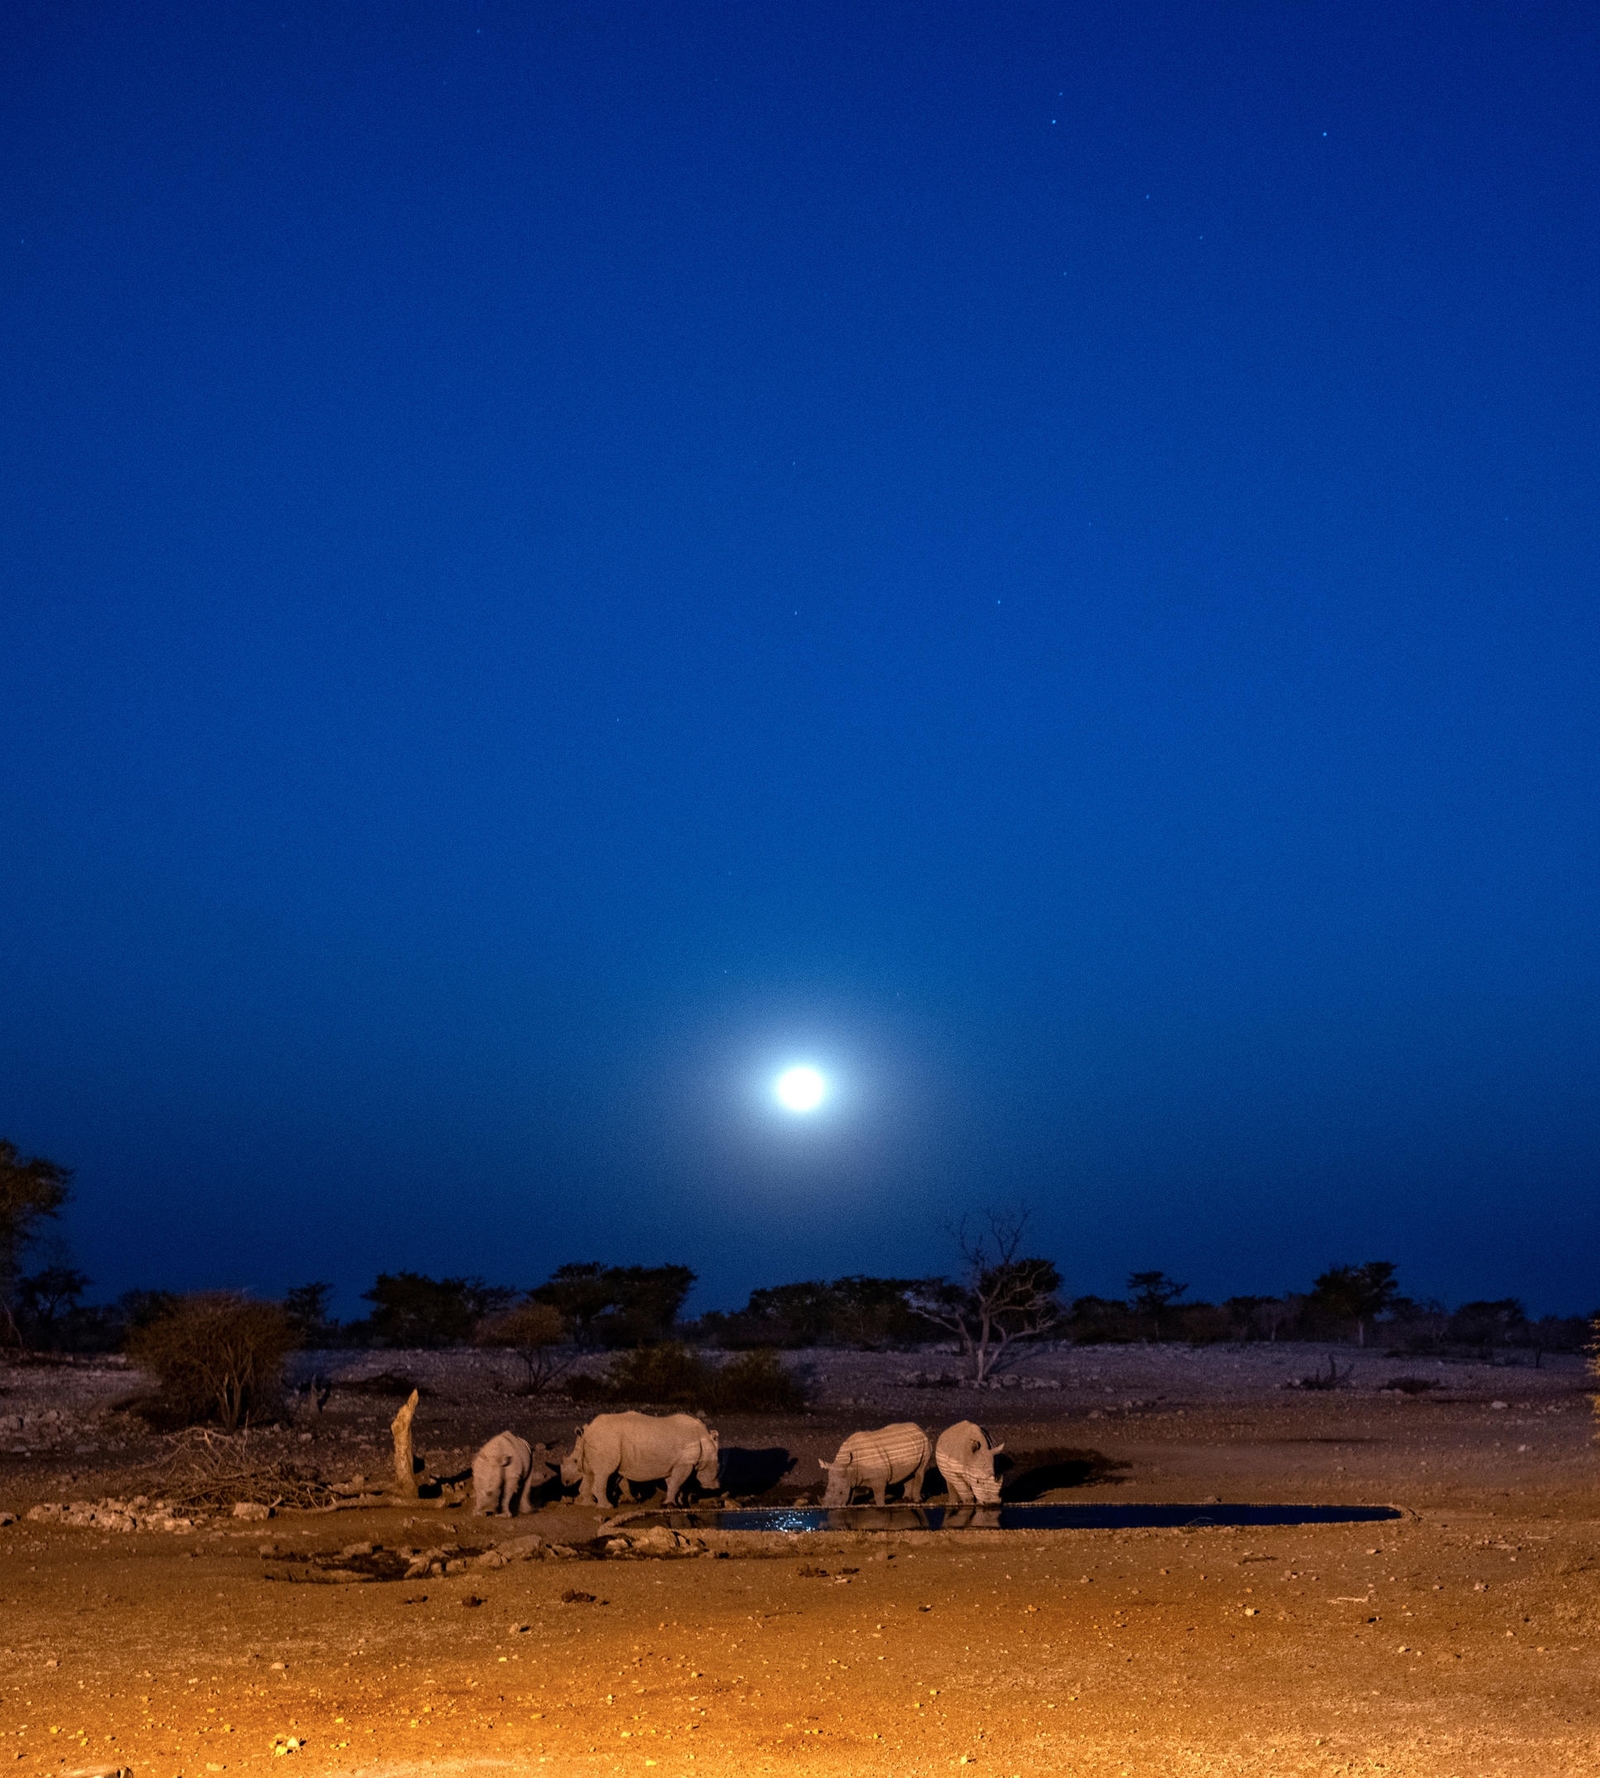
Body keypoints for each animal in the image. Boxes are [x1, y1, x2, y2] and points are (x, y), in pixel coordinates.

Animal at [560, 1411, 720, 1508]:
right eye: (717, 1465)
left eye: (574, 1461)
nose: (716, 1486)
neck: (703, 1438)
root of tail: (590, 1431)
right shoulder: (683, 1463)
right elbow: (676, 1483)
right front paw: (670, 1504)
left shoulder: (676, 1463)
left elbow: (673, 1483)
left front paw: (675, 1503)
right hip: (607, 1441)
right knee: (603, 1474)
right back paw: (607, 1507)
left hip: (602, 1442)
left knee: (590, 1474)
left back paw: (588, 1504)